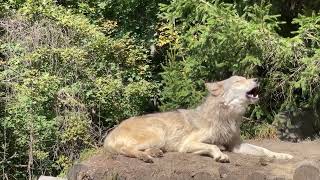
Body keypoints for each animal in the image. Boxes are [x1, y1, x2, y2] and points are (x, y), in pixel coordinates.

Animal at [104, 75, 294, 162]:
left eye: (247, 78)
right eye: (238, 81)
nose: (257, 79)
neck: (226, 117)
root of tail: (109, 135)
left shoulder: (236, 145)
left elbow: (264, 150)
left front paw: (282, 155)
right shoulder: (187, 144)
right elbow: (213, 146)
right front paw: (220, 155)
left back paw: (153, 153)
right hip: (158, 133)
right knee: (125, 149)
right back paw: (145, 156)